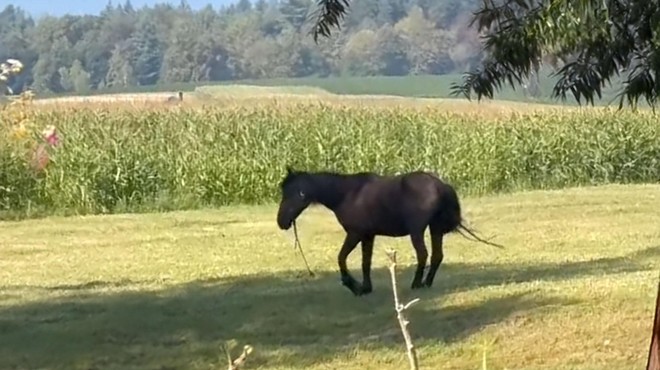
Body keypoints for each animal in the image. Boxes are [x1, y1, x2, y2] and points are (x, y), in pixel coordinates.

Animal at [276, 168, 502, 298]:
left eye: (293, 194)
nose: (281, 222)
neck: (347, 194)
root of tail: (440, 184)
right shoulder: (368, 236)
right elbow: (365, 263)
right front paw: (365, 287)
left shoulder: (355, 234)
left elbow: (341, 258)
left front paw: (353, 286)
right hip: (435, 229)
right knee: (437, 256)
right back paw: (427, 283)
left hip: (417, 231)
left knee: (423, 255)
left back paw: (416, 284)